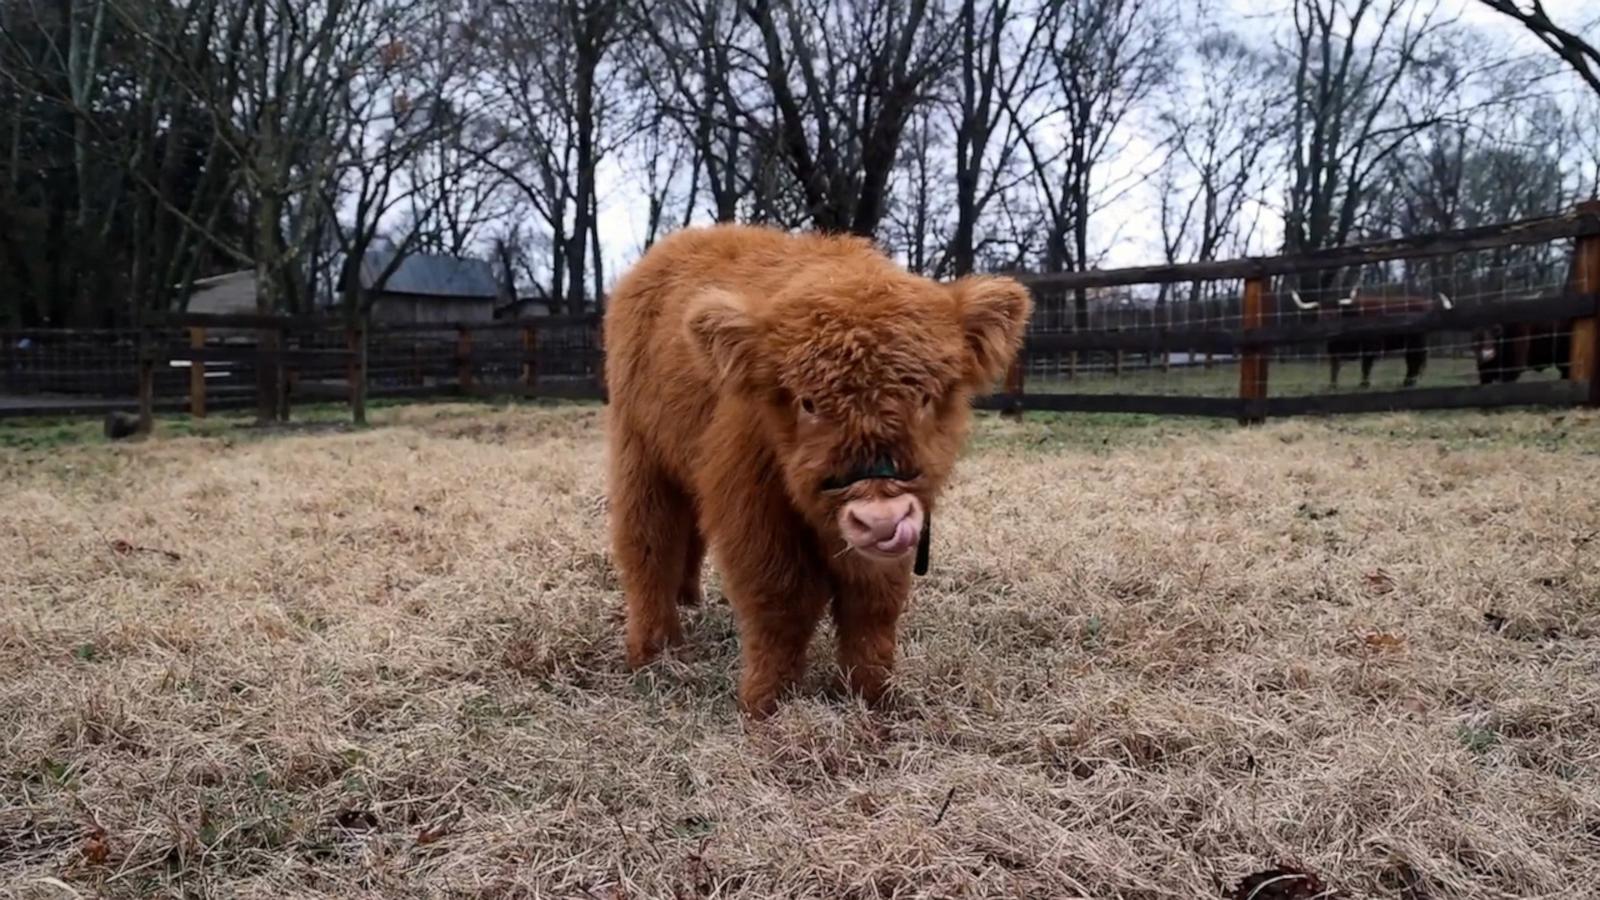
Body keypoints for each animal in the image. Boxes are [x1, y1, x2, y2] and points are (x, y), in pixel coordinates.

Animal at [601, 220, 1036, 711]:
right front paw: (767, 702)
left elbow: (872, 609)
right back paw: (654, 649)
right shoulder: (753, 508)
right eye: (807, 402)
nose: (880, 518)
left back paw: (689, 599)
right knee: (649, 545)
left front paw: (872, 695)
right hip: (640, 454)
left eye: (925, 397)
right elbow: (781, 601)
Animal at [1286, 285, 1452, 387]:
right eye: (1320, 314)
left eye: (1336, 313)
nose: (1327, 329)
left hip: (1417, 342)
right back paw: (1408, 382)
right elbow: (1334, 367)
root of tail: (1425, 302)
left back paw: (1408, 383)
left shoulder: (1370, 348)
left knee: (1414, 362)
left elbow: (1365, 367)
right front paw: (1332, 385)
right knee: (1412, 362)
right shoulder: (1333, 351)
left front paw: (1364, 384)